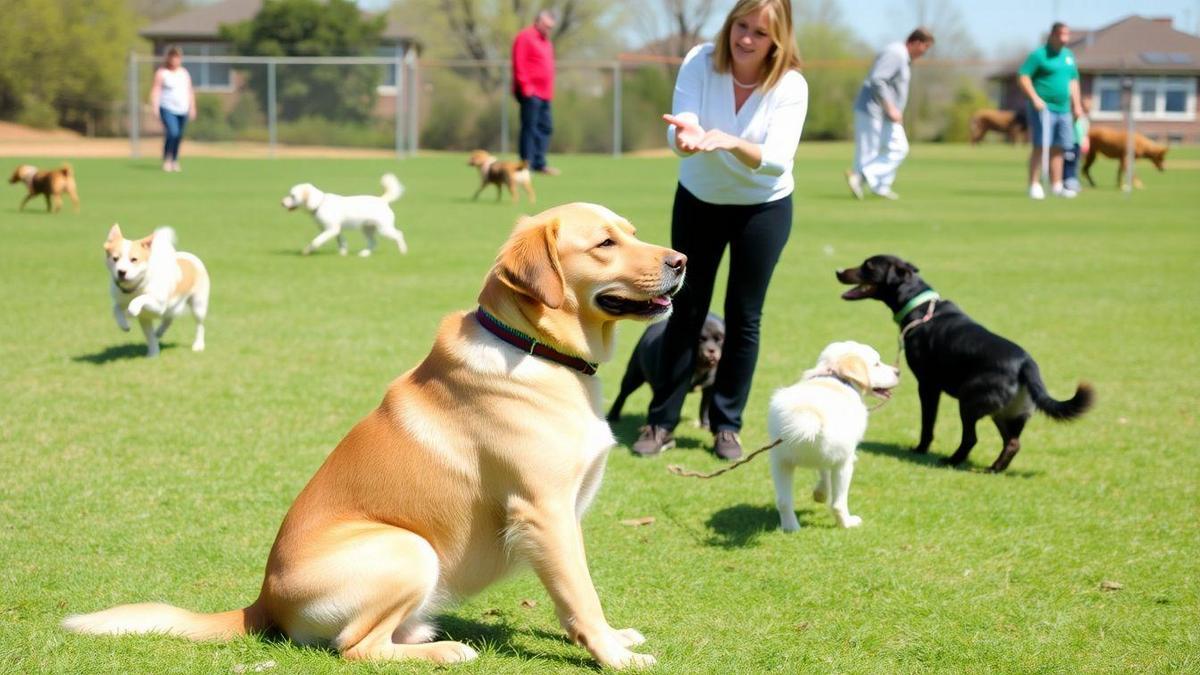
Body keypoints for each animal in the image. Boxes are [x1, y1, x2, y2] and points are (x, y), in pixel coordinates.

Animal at [102, 223, 208, 355]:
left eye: (134, 259)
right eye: (115, 258)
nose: (121, 272)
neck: (134, 288)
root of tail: (189, 256)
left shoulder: (158, 306)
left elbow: (139, 300)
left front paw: (131, 312)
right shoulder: (143, 317)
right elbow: (116, 309)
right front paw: (153, 353)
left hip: (198, 305)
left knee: (199, 325)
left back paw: (198, 345)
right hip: (172, 307)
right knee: (168, 319)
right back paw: (159, 332)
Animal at [279, 171, 408, 255]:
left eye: (292, 196)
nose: (282, 203)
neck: (319, 204)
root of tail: (383, 200)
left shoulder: (330, 229)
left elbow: (316, 241)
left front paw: (307, 250)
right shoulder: (336, 230)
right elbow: (342, 242)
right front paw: (343, 253)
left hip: (384, 229)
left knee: (399, 234)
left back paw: (403, 251)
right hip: (367, 229)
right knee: (373, 242)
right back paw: (365, 253)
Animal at [768, 338, 902, 528]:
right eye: (876, 363)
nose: (898, 372)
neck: (836, 377)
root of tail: (810, 415)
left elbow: (822, 472)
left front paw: (820, 493)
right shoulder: (839, 455)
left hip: (780, 461)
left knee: (783, 501)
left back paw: (791, 528)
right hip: (842, 463)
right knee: (838, 503)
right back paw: (848, 523)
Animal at [840, 254, 1094, 470]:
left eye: (868, 265)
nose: (838, 271)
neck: (920, 306)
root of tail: (1026, 365)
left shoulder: (928, 385)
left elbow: (927, 424)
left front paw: (921, 449)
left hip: (970, 401)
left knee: (971, 438)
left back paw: (952, 461)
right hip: (1007, 412)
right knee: (1012, 443)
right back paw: (994, 469)